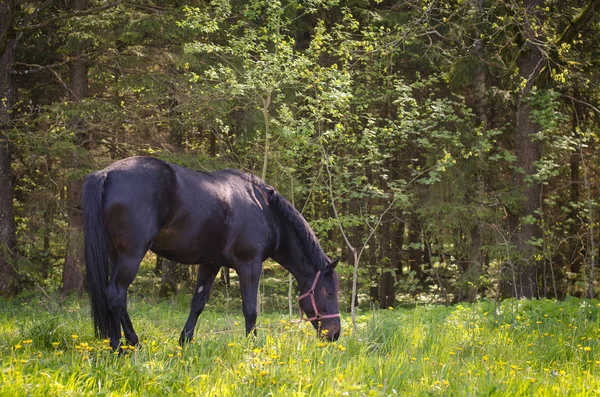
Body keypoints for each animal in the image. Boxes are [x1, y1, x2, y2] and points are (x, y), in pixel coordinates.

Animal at [82, 156, 340, 348]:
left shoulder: (210, 264)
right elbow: (251, 310)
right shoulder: (250, 265)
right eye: (328, 292)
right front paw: (253, 348)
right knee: (115, 294)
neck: (265, 210)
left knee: (118, 297)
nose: (335, 333)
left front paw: (184, 342)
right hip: (132, 255)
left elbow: (198, 303)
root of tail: (106, 174)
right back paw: (120, 347)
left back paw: (133, 343)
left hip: (117, 255)